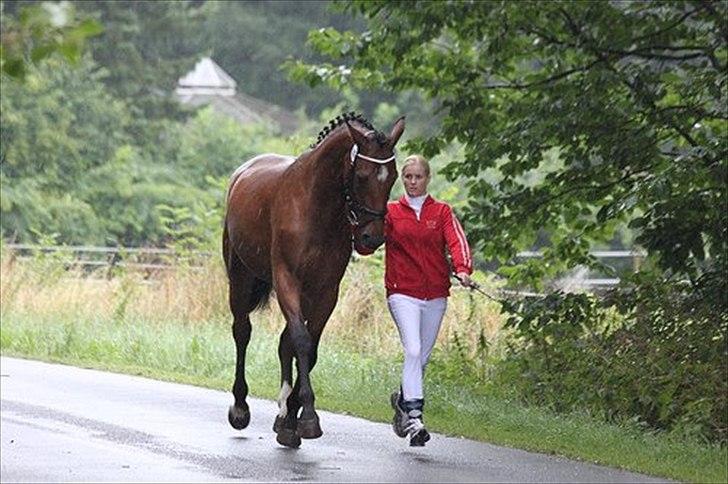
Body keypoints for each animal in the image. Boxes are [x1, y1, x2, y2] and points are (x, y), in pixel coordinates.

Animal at [223, 111, 404, 448]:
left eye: (394, 176)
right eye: (362, 175)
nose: (371, 238)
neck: (317, 206)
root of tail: (242, 172)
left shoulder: (325, 290)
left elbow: (309, 346)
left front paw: (291, 419)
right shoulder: (287, 280)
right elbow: (302, 341)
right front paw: (307, 416)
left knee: (284, 343)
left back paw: (283, 413)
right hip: (240, 278)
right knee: (242, 331)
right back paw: (240, 407)